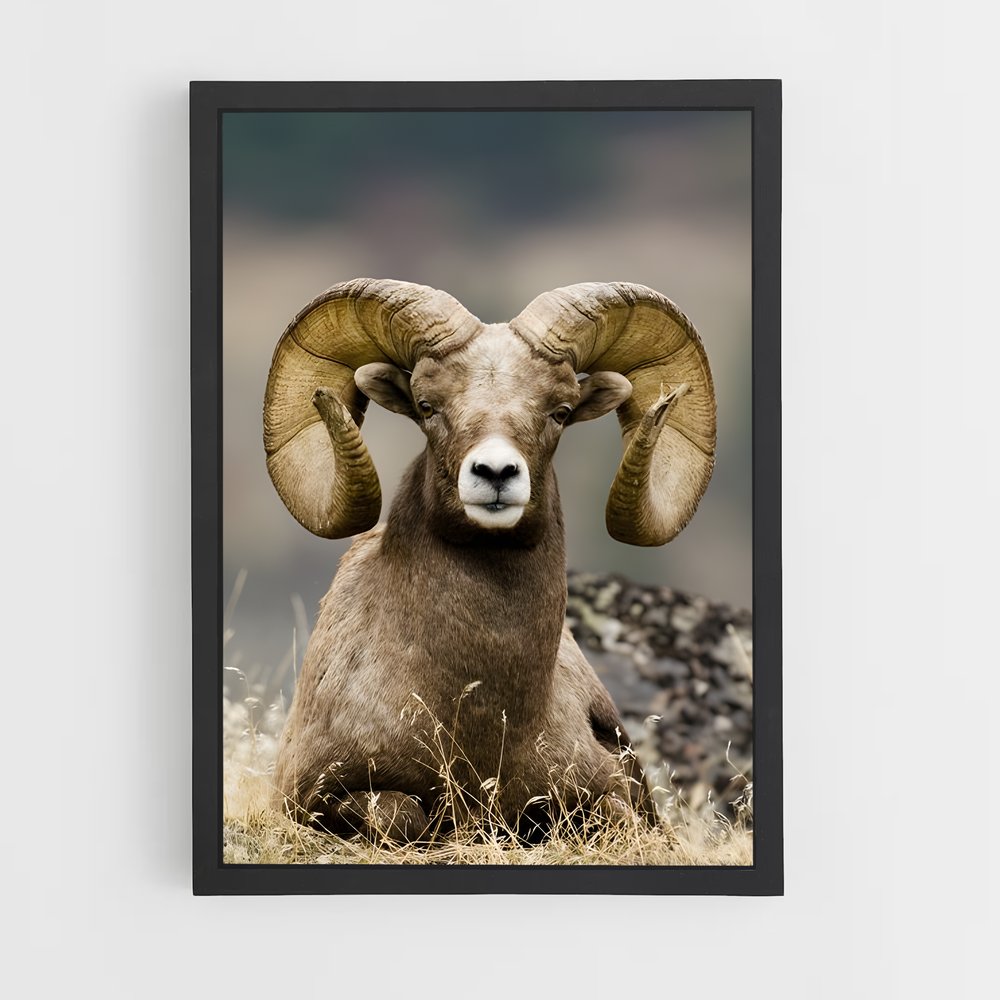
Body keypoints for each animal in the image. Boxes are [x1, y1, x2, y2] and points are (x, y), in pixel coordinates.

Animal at [263, 278, 716, 841]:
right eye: (427, 405)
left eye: (560, 411)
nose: (496, 472)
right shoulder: (316, 797)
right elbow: (402, 814)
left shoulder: (602, 791)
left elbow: (609, 813)